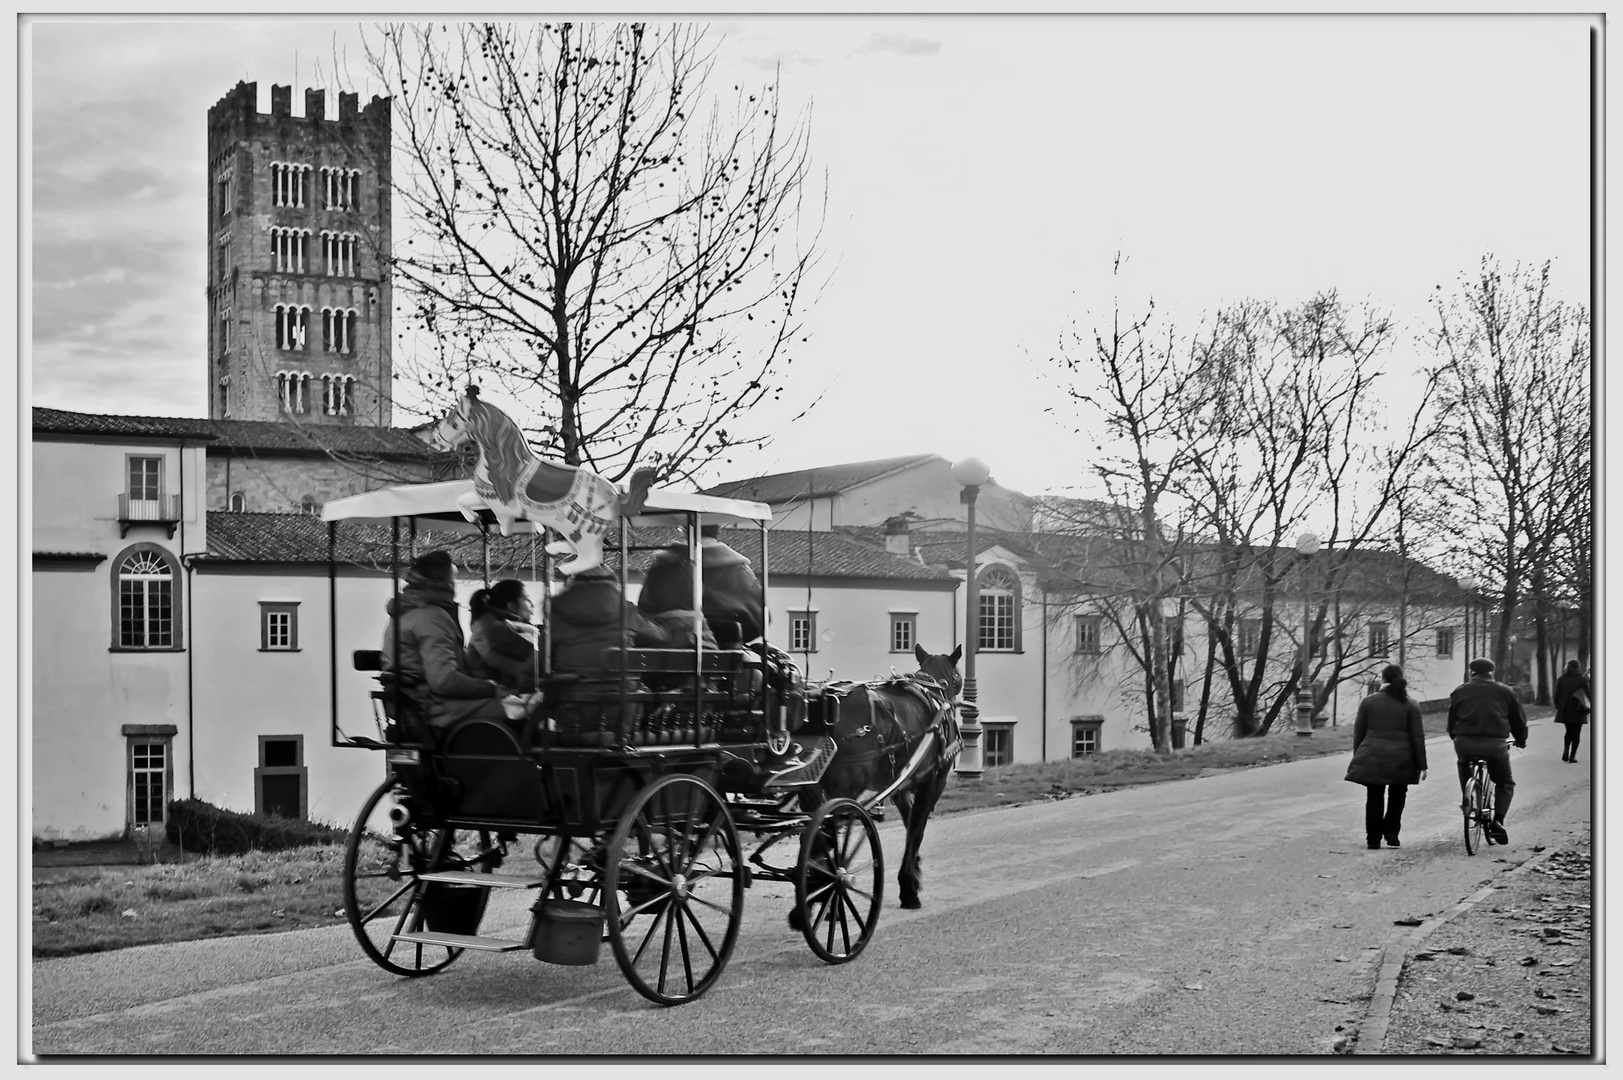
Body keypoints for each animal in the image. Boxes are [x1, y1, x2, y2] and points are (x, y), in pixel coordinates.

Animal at [801, 639, 960, 909]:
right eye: (958, 677)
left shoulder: (901, 786)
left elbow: (910, 824)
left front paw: (914, 873)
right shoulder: (933, 782)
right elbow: (916, 830)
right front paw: (909, 887)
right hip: (845, 788)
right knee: (823, 836)